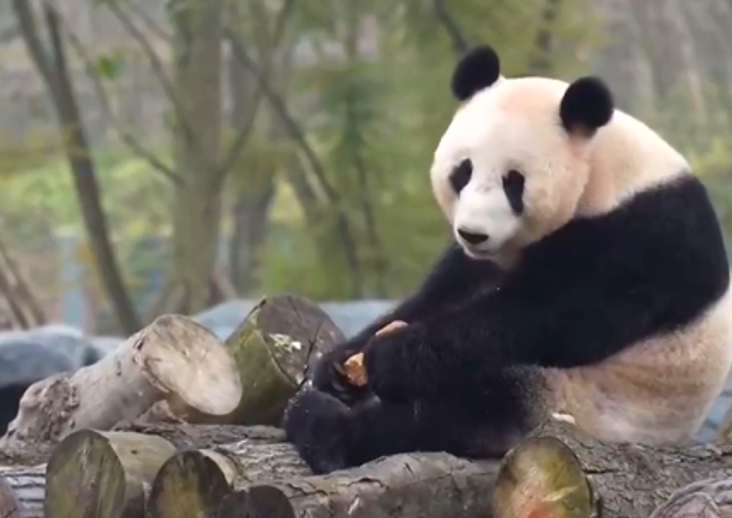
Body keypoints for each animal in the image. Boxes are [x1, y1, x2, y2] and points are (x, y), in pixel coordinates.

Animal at [283, 43, 732, 475]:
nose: (473, 233)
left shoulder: (644, 237)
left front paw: (390, 357)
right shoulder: (484, 259)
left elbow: (552, 316)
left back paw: (323, 427)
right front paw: (340, 364)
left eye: (514, 182)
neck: (603, 172)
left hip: (587, 402)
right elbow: (446, 292)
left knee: (473, 405)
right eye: (462, 171)